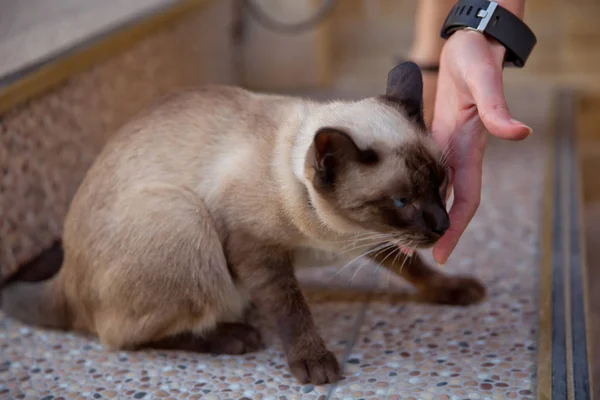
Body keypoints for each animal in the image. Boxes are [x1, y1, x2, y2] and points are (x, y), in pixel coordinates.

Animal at [2, 62, 486, 384]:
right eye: (402, 200)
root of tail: (65, 280)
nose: (442, 225)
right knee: (117, 337)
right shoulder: (256, 250)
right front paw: (313, 364)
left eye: (441, 183)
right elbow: (292, 309)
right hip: (184, 215)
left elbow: (416, 269)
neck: (335, 236)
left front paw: (455, 290)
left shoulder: (372, 239)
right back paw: (236, 337)